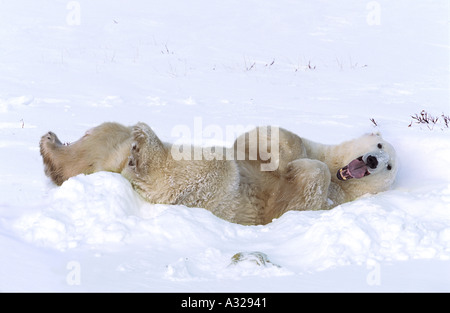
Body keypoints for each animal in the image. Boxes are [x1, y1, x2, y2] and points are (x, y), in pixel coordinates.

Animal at [39, 122, 398, 224]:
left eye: (391, 166)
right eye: (379, 144)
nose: (373, 160)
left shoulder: (330, 202)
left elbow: (295, 199)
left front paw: (297, 168)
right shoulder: (313, 146)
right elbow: (260, 139)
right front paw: (284, 156)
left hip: (202, 191)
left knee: (210, 167)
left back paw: (144, 146)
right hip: (110, 148)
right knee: (106, 134)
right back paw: (52, 149)